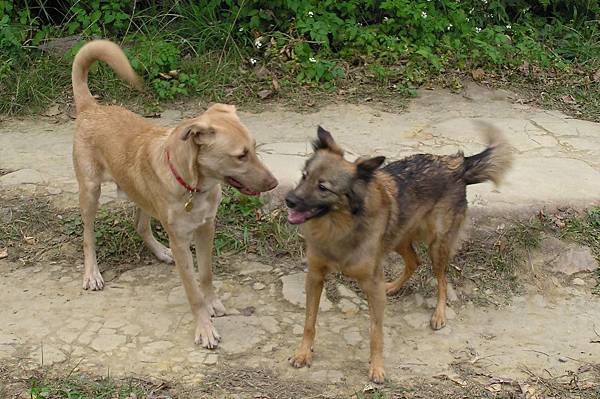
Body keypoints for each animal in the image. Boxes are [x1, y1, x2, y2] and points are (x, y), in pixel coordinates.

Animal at [71, 39, 278, 348]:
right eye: (241, 155)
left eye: (254, 148)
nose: (275, 183)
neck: (194, 186)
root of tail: (91, 107)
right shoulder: (181, 240)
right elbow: (192, 289)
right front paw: (204, 328)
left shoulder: (206, 228)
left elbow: (206, 274)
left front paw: (212, 302)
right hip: (90, 192)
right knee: (88, 237)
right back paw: (91, 273)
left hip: (140, 194)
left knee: (140, 225)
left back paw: (160, 251)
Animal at [284, 123, 510, 382]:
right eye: (304, 175)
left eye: (323, 187)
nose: (288, 200)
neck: (338, 226)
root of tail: (457, 163)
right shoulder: (315, 276)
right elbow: (309, 321)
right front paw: (303, 353)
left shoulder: (372, 284)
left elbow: (376, 332)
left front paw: (377, 367)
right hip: (398, 239)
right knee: (414, 261)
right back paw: (392, 286)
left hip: (437, 246)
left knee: (442, 279)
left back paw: (439, 314)